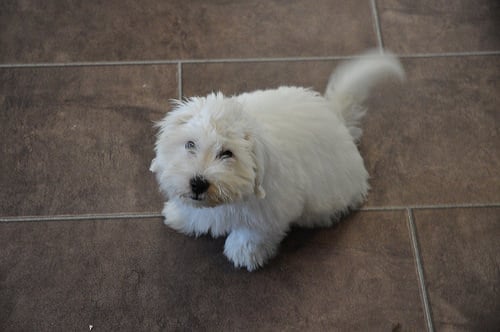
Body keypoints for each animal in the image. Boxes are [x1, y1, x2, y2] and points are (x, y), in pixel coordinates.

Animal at [150, 50, 404, 272]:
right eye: (189, 144)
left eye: (227, 154)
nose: (198, 183)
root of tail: (336, 116)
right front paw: (180, 215)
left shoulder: (273, 208)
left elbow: (253, 232)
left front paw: (244, 252)